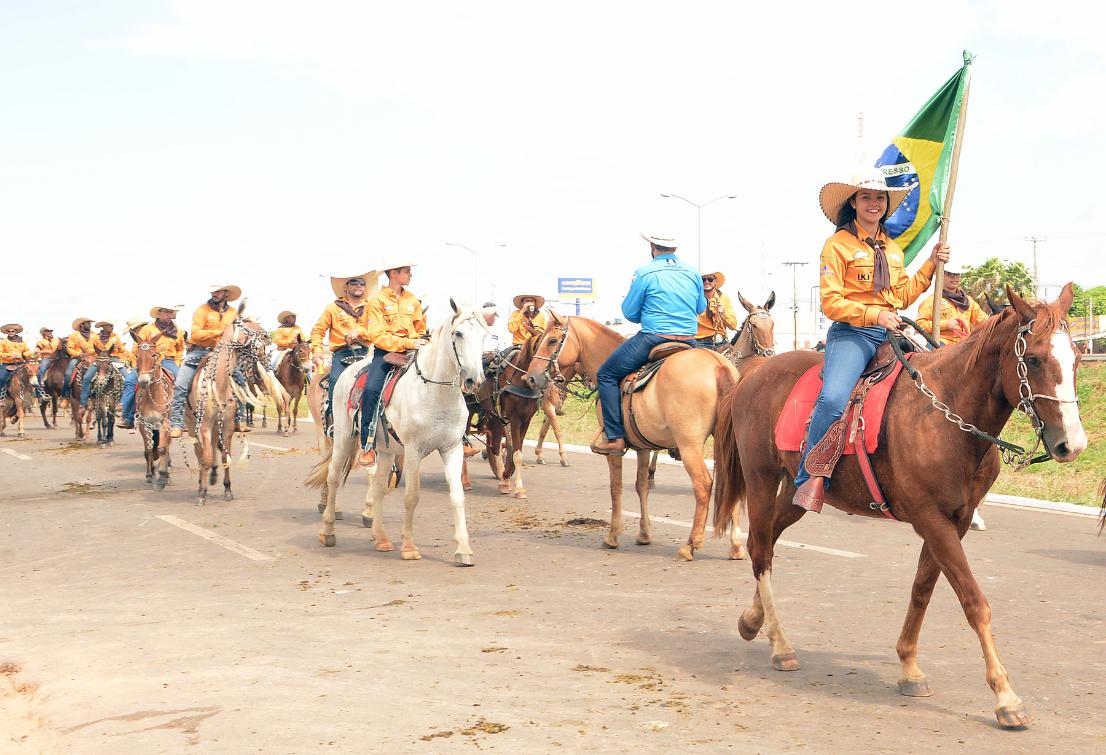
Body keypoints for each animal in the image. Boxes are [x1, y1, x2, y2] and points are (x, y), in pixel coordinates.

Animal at [307, 300, 488, 565]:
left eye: (484, 335)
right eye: (458, 333)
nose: (475, 380)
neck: (435, 393)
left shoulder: (452, 449)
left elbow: (457, 497)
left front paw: (463, 549)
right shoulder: (413, 451)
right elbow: (411, 497)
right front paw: (410, 547)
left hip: (384, 450)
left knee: (378, 486)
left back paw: (380, 537)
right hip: (342, 439)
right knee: (333, 476)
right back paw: (328, 531)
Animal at [524, 313, 743, 561]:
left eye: (552, 340)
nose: (531, 378)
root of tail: (718, 364)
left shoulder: (614, 449)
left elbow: (616, 487)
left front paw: (613, 535)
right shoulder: (643, 447)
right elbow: (641, 486)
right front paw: (644, 534)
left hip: (689, 445)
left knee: (703, 484)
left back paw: (690, 545)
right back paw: (736, 545)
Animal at [707, 281, 1088, 725]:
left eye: (1076, 357)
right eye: (1034, 358)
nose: (1072, 444)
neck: (948, 415)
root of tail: (750, 375)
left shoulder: (954, 522)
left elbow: (922, 589)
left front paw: (909, 667)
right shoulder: (932, 520)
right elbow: (974, 601)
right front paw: (1005, 696)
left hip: (800, 496)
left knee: (765, 543)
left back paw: (754, 621)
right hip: (762, 480)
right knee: (760, 551)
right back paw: (780, 645)